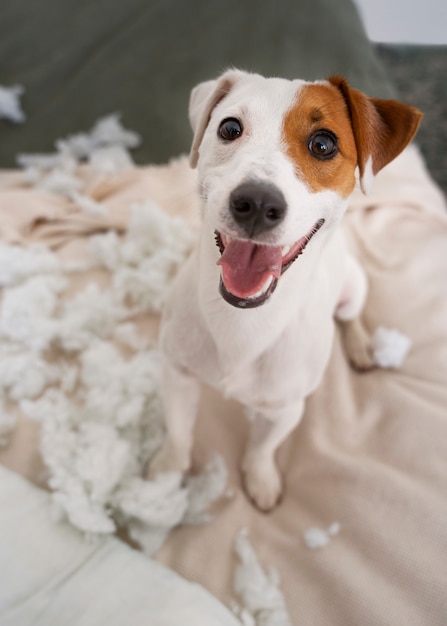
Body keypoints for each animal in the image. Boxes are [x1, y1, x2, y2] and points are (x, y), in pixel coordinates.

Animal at [148, 69, 424, 508]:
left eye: (324, 144)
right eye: (229, 128)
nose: (257, 203)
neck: (241, 321)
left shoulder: (285, 409)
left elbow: (263, 448)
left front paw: (261, 479)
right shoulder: (178, 375)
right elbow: (178, 433)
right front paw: (166, 474)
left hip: (354, 285)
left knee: (351, 316)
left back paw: (361, 346)